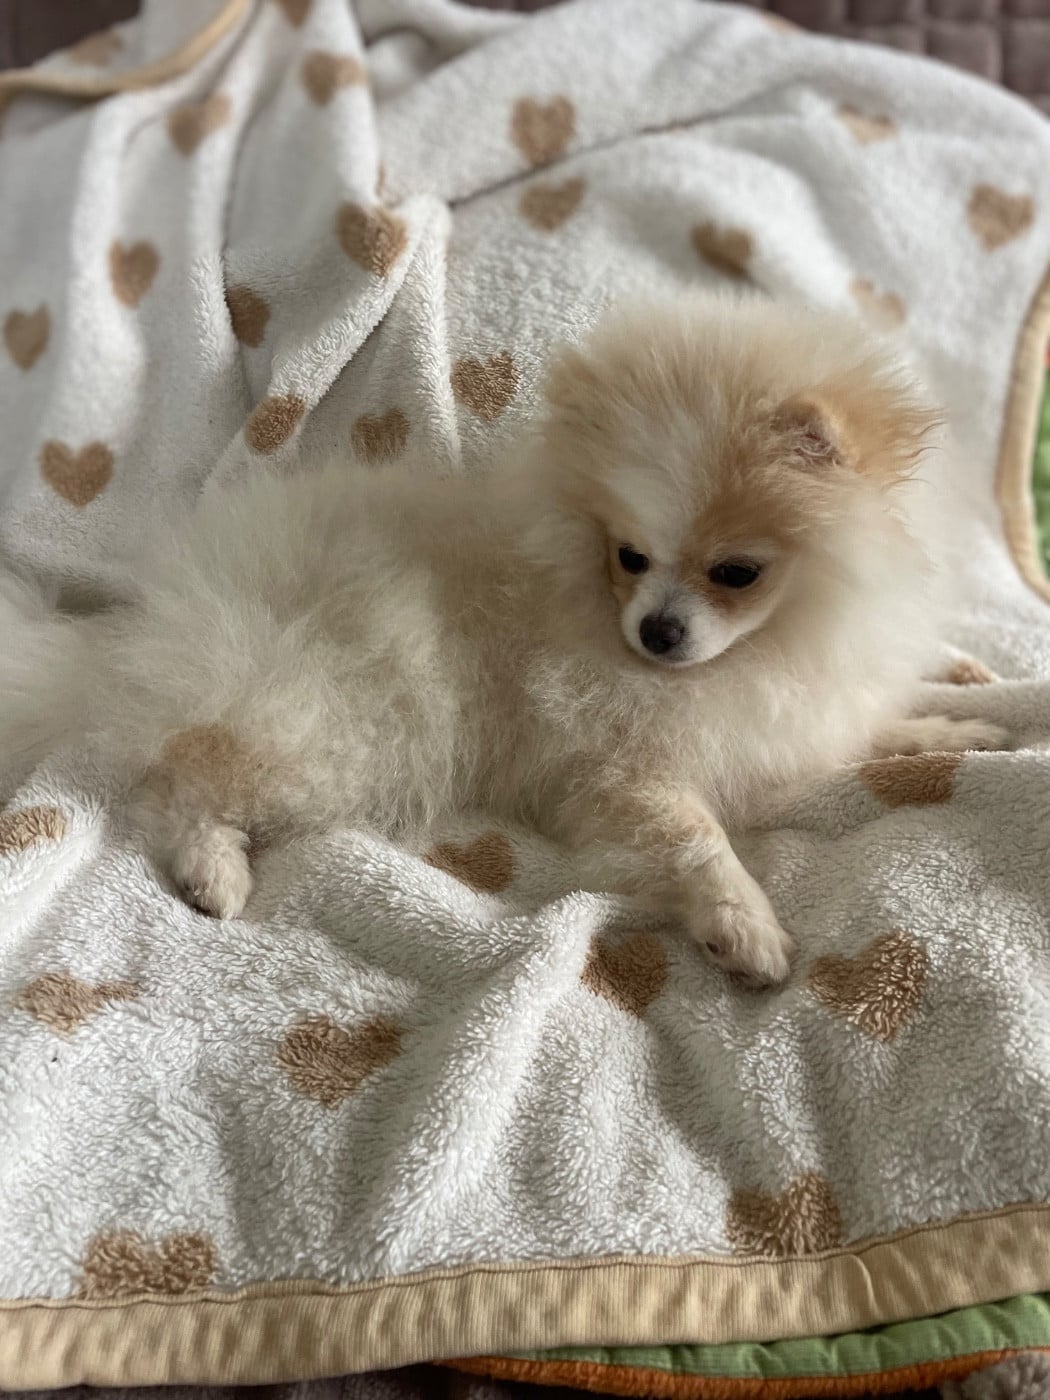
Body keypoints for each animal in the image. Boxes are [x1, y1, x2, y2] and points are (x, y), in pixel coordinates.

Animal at [0, 296, 1005, 985]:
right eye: (631, 556)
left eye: (736, 571)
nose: (657, 631)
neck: (775, 645)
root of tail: (157, 619)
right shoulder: (620, 768)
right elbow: (694, 838)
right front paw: (744, 925)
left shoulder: (791, 714)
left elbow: (870, 728)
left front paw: (956, 725)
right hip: (330, 719)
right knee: (181, 776)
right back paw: (215, 872)